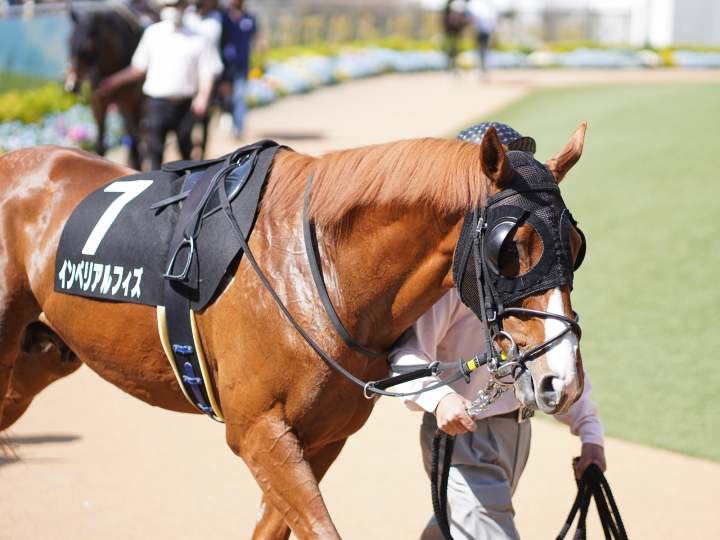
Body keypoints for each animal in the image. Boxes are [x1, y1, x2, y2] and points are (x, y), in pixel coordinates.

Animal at [0, 125, 584, 536]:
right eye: (510, 247)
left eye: (575, 246)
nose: (565, 380)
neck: (316, 267)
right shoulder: (258, 432)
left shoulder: (321, 438)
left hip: (36, 360)